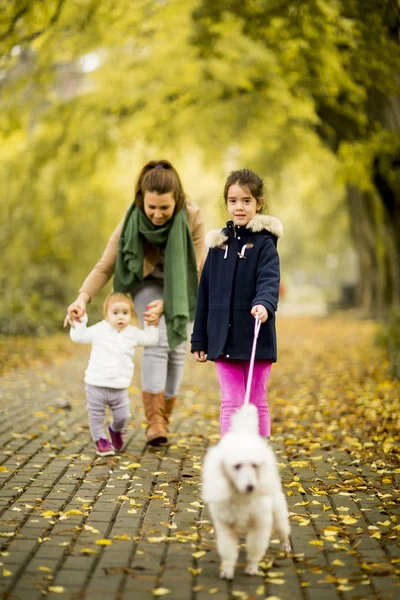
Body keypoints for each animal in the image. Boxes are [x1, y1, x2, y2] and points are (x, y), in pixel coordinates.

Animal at [203, 406, 290, 580]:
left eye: (255, 465)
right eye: (236, 466)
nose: (251, 486)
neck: (241, 497)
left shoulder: (259, 524)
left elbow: (255, 547)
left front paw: (252, 567)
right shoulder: (225, 526)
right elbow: (228, 550)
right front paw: (228, 569)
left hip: (277, 511)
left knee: (283, 529)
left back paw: (286, 547)